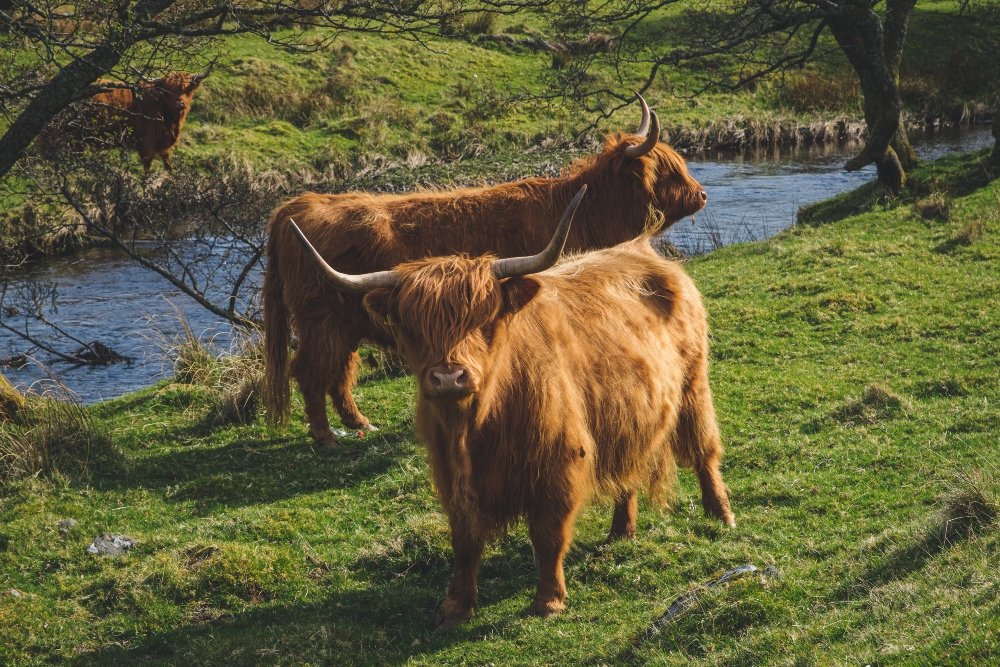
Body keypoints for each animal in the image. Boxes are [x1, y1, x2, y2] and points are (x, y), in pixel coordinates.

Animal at [264, 95, 709, 446]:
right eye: (669, 171)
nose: (702, 195)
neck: (588, 209)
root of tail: (299, 204)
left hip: (346, 324)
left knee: (339, 374)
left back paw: (360, 423)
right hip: (322, 322)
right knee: (310, 372)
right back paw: (326, 436)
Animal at [287, 186, 736, 627]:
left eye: (484, 319)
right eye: (413, 327)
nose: (448, 378)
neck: (479, 422)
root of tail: (641, 250)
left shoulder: (559, 461)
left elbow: (548, 534)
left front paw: (548, 600)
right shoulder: (452, 474)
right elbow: (464, 539)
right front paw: (456, 605)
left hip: (694, 386)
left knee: (704, 452)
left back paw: (721, 515)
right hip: (624, 412)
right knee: (627, 470)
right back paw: (620, 531)